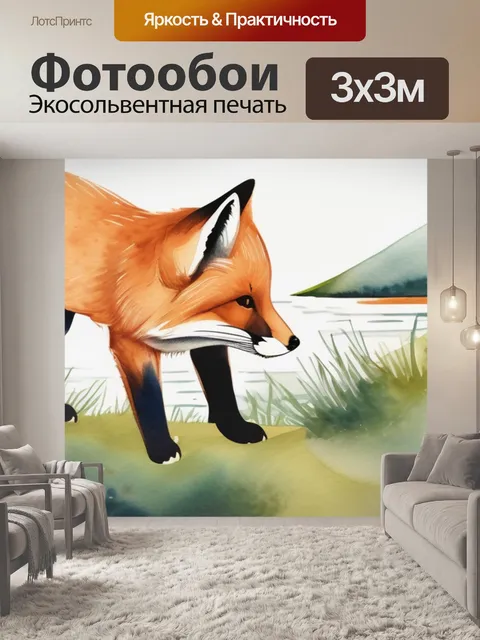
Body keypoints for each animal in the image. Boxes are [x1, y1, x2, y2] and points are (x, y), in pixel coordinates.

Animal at [65, 173, 300, 464]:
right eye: (245, 301)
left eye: (265, 296)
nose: (294, 342)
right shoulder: (129, 343)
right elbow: (149, 398)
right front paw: (161, 449)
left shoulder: (210, 339)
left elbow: (222, 387)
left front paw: (235, 429)